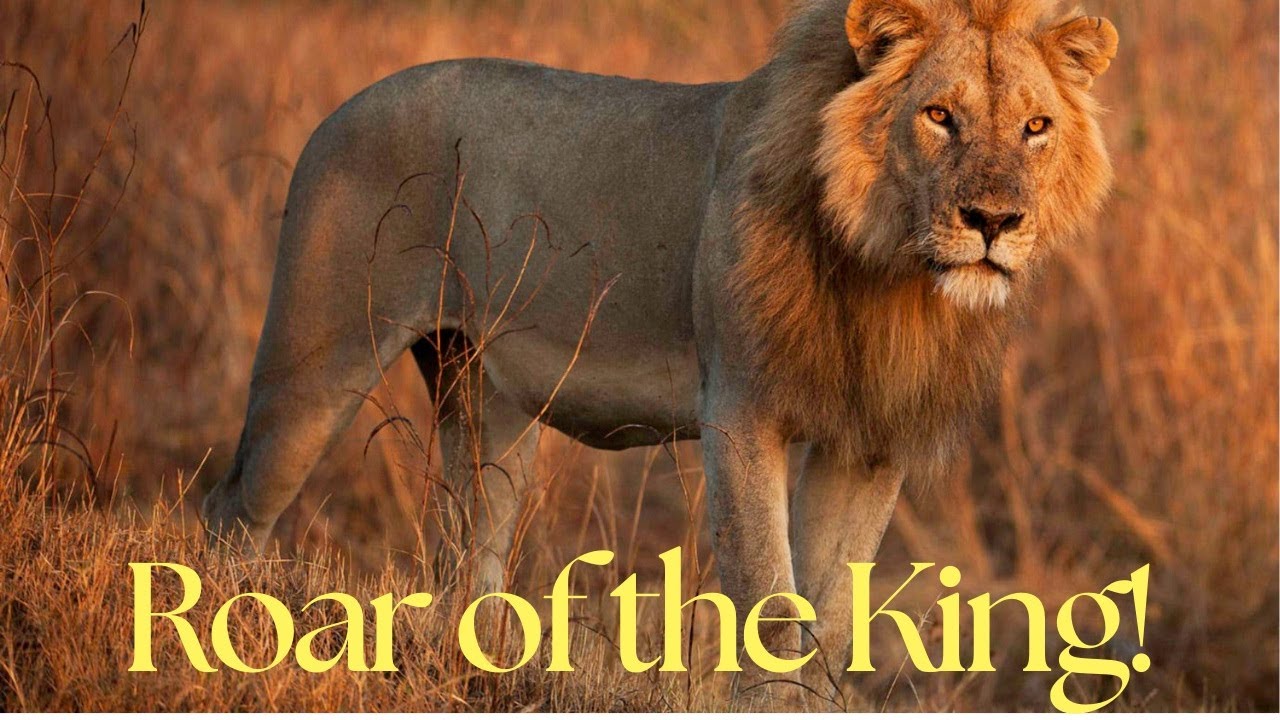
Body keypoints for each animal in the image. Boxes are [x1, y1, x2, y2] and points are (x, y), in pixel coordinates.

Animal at [202, 0, 1116, 703]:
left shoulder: (868, 442)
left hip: (484, 399)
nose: (994, 221)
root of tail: (344, 106)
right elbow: (772, 599)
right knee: (235, 506)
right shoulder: (741, 408)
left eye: (1036, 127)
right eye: (939, 115)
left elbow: (833, 615)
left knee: (470, 559)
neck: (890, 273)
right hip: (318, 360)